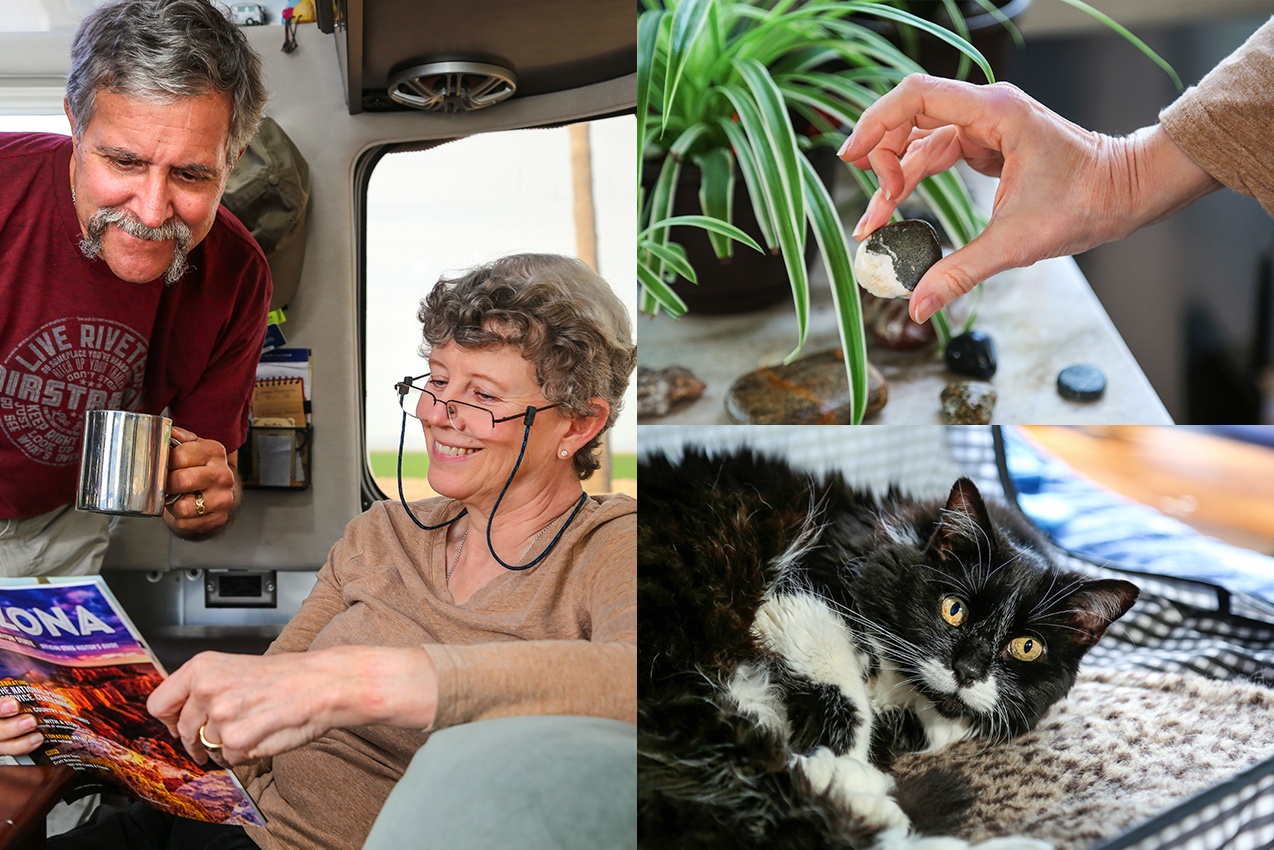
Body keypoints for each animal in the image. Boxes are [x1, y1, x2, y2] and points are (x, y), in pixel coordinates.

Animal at [642, 448, 1141, 846]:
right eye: (954, 609)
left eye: (1026, 647)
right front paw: (846, 768)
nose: (968, 669)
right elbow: (844, 685)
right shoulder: (794, 596)